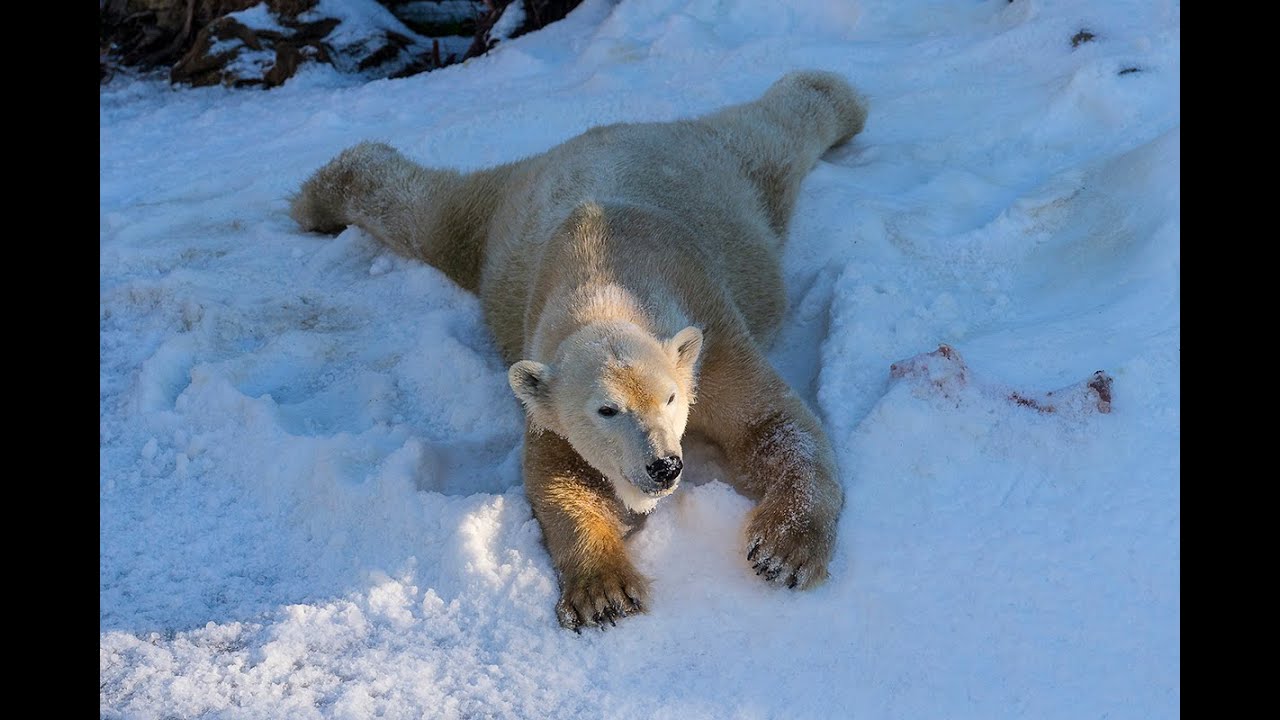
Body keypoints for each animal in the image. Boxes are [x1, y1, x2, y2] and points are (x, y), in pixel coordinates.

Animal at [290, 70, 868, 631]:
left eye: (671, 398)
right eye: (607, 410)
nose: (664, 467)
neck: (606, 278)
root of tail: (598, 135)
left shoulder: (713, 338)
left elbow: (773, 424)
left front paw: (784, 551)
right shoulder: (545, 384)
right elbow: (560, 474)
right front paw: (604, 593)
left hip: (720, 180)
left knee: (777, 135)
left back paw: (837, 98)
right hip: (506, 221)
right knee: (431, 217)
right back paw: (319, 198)